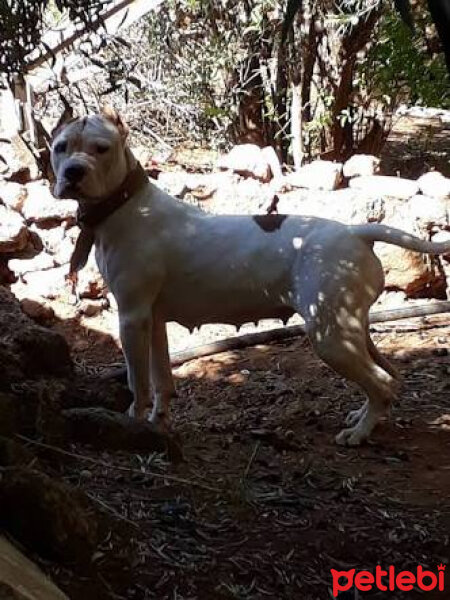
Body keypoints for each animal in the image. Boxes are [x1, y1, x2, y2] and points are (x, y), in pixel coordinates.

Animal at [50, 109, 450, 446]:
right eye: (60, 147)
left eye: (101, 149)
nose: (73, 172)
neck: (125, 203)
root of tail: (357, 232)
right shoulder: (154, 319)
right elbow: (161, 378)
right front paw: (158, 422)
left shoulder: (132, 318)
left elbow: (138, 381)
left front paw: (133, 422)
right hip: (351, 328)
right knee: (387, 376)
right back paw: (364, 417)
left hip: (331, 338)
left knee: (381, 382)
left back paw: (360, 433)